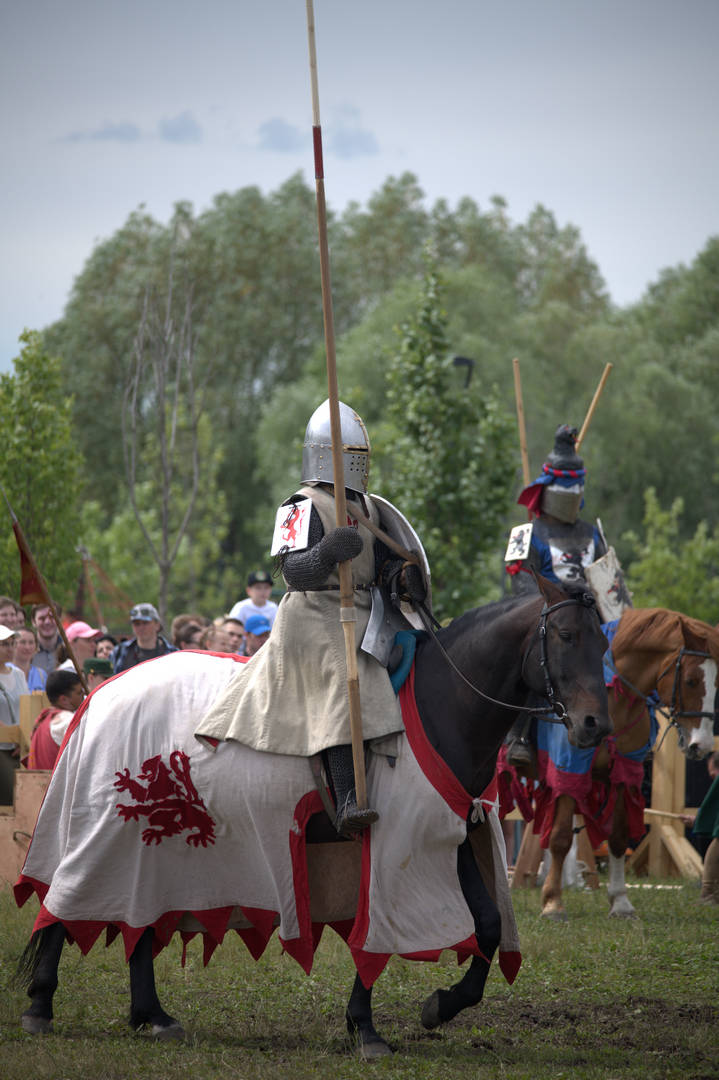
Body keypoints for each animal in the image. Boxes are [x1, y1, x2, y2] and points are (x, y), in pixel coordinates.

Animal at [16, 578, 608, 1058]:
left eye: (603, 643)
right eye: (565, 637)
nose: (593, 725)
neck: (442, 702)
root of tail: (98, 695)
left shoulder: (451, 834)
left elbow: (487, 925)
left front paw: (441, 1005)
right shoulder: (397, 845)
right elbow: (375, 940)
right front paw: (365, 1029)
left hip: (149, 844)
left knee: (138, 915)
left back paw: (152, 1015)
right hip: (108, 829)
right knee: (65, 904)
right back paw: (41, 1006)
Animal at [509, 609, 716, 920]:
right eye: (691, 680)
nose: (701, 745)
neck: (613, 696)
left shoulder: (622, 775)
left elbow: (618, 838)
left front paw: (620, 902)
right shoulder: (568, 772)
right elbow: (560, 838)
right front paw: (553, 903)